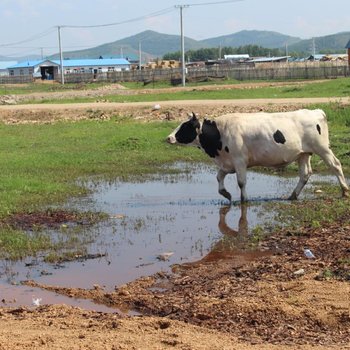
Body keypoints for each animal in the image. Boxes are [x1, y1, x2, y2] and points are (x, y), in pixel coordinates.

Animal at [167, 109, 350, 202]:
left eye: (185, 126)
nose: (168, 137)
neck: (220, 132)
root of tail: (315, 111)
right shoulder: (227, 163)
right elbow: (219, 177)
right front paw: (226, 193)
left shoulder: (239, 161)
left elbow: (241, 182)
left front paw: (244, 200)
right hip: (303, 153)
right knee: (305, 174)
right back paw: (293, 195)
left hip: (322, 148)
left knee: (335, 165)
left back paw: (344, 191)